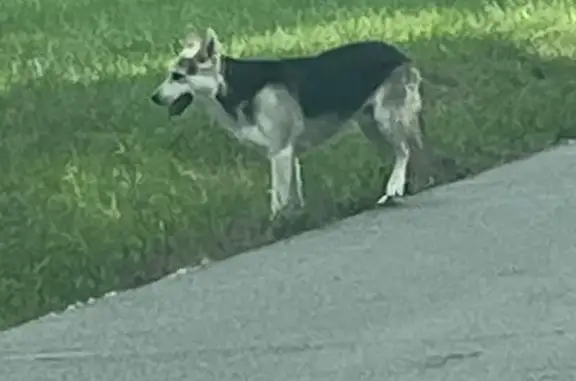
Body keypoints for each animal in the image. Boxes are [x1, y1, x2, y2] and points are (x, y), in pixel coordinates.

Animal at [151, 28, 434, 218]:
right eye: (169, 75)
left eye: (177, 76)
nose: (153, 97)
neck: (230, 85)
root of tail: (399, 53)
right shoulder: (289, 155)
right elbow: (294, 194)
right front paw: (296, 219)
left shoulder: (280, 152)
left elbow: (278, 198)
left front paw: (275, 226)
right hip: (371, 125)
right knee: (404, 153)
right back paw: (399, 189)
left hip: (387, 118)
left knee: (405, 150)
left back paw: (396, 187)